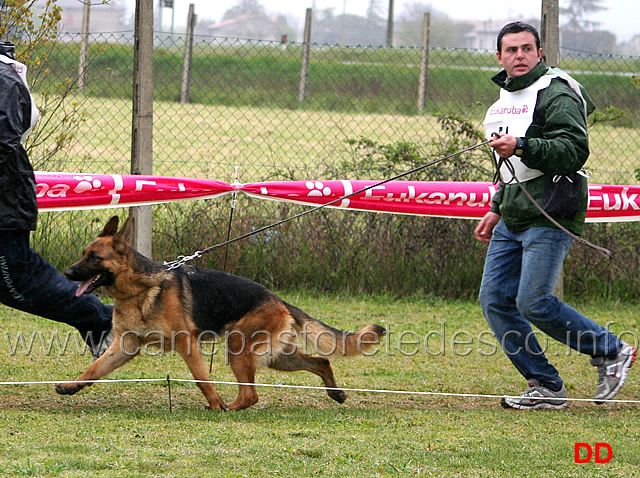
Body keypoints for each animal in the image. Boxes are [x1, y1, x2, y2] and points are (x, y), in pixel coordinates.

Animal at [57, 217, 384, 410]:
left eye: (94, 257)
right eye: (84, 254)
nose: (67, 273)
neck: (139, 289)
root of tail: (279, 300)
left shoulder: (186, 343)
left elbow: (202, 378)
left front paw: (215, 403)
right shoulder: (125, 345)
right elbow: (94, 369)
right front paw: (73, 385)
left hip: (239, 349)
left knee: (251, 395)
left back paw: (228, 408)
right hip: (277, 356)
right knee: (320, 361)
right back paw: (335, 393)